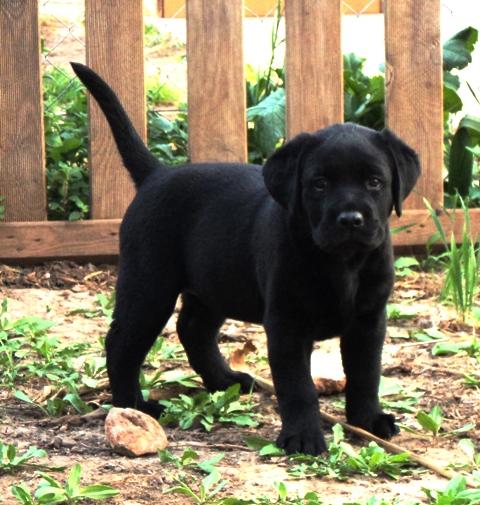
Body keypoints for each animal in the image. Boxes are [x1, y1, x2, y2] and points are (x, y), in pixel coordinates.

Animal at [72, 62, 420, 452]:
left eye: (375, 182)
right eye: (319, 184)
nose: (350, 219)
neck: (342, 263)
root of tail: (156, 174)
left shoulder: (369, 320)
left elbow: (365, 374)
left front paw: (368, 420)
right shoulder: (286, 324)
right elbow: (298, 387)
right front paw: (303, 436)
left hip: (213, 285)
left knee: (192, 330)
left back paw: (224, 381)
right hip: (149, 285)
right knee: (122, 343)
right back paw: (134, 405)